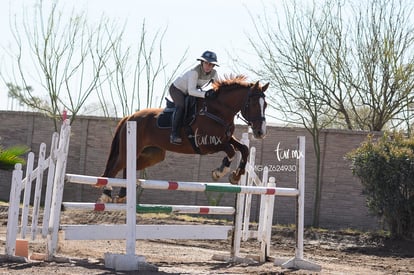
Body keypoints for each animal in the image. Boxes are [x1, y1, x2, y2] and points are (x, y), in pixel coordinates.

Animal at [98, 75, 270, 203]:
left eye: (266, 104)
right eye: (253, 103)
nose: (260, 132)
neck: (217, 110)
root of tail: (130, 117)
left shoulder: (226, 138)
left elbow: (243, 149)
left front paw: (235, 176)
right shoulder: (207, 145)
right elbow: (231, 150)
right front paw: (219, 172)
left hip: (153, 155)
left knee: (129, 166)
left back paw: (122, 194)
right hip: (130, 149)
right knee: (115, 168)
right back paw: (107, 194)